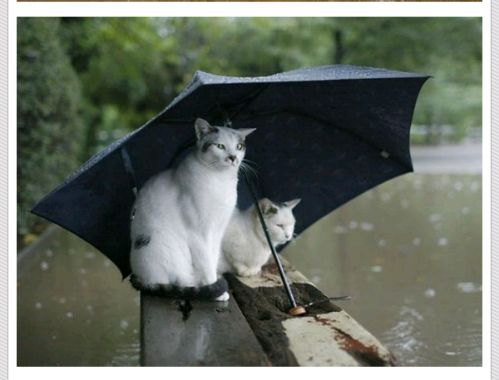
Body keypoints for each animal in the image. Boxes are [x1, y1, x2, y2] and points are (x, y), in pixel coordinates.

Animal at [130, 117, 254, 302]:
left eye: (239, 147)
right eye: (220, 146)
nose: (233, 158)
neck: (221, 180)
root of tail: (139, 277)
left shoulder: (217, 232)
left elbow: (213, 258)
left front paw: (215, 283)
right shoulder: (199, 234)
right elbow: (207, 264)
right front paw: (216, 290)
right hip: (165, 247)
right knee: (178, 280)